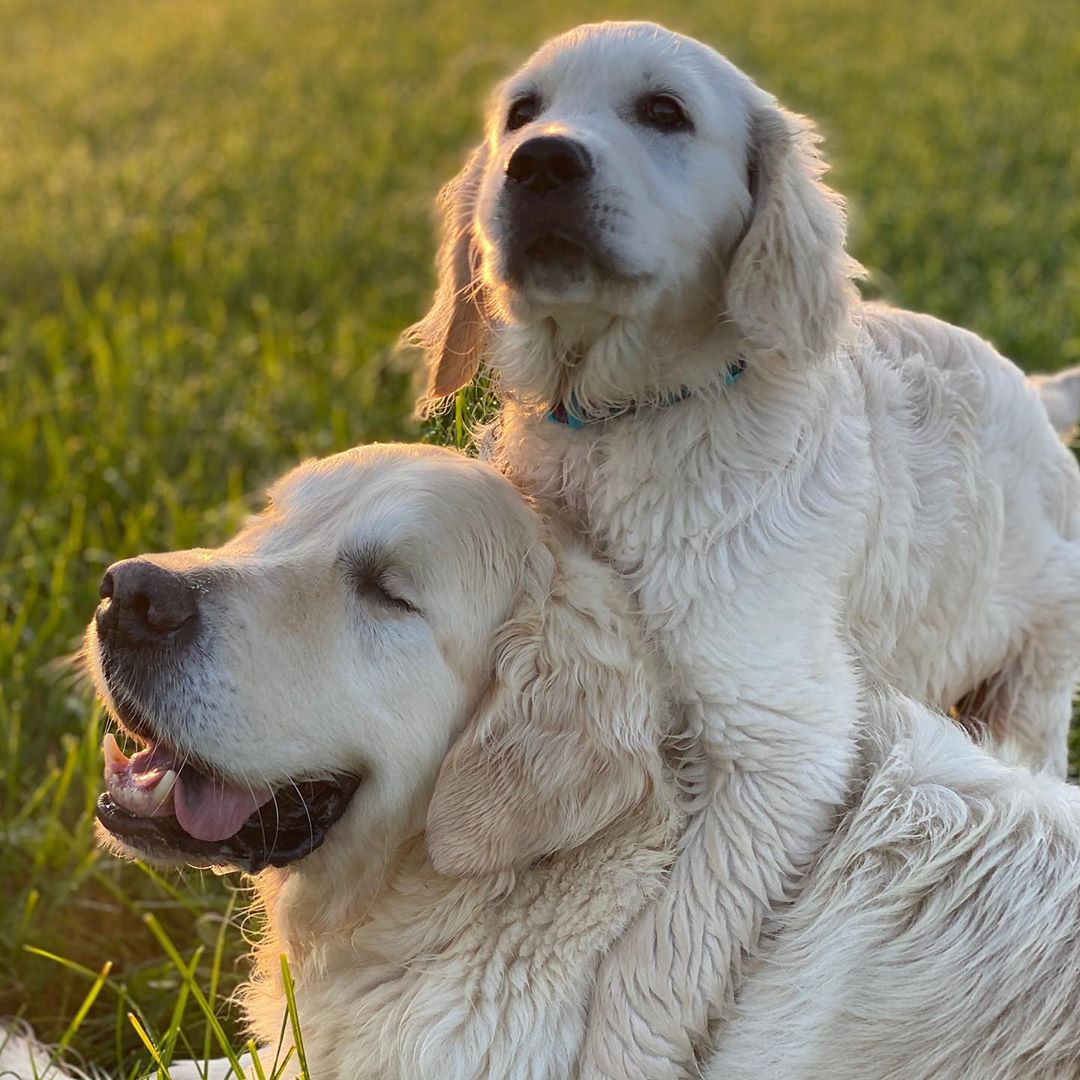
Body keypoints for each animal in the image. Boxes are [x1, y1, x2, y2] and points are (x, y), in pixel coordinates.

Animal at [406, 19, 1080, 1080]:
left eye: (664, 112)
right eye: (520, 112)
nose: (540, 160)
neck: (629, 422)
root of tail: (1036, 394)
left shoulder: (783, 744)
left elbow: (661, 950)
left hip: (1037, 667)